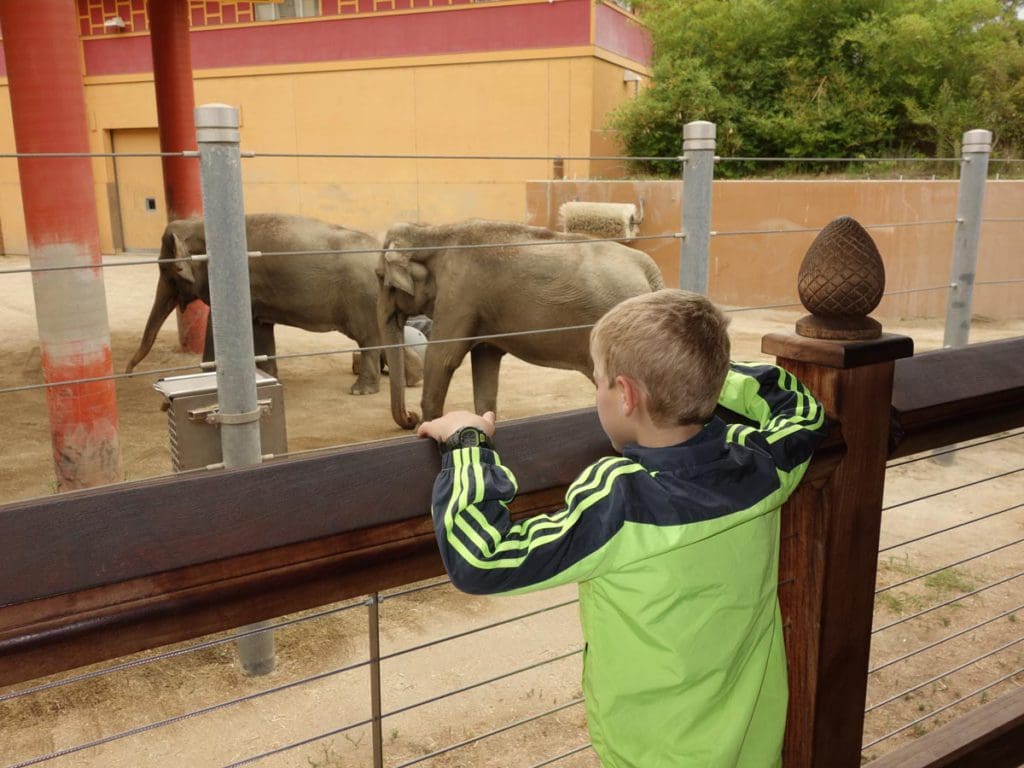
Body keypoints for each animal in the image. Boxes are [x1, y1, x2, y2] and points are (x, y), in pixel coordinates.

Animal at [129, 211, 423, 397]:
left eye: (167, 272)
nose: (128, 372)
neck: (198, 224)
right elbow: (261, 328)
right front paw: (269, 379)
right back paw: (413, 380)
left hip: (362, 296)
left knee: (369, 339)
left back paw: (361, 391)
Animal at [376, 219, 663, 430]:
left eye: (380, 277)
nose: (410, 418)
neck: (433, 232)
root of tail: (649, 269)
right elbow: (485, 362)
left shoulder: (459, 294)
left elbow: (443, 357)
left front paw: (427, 426)